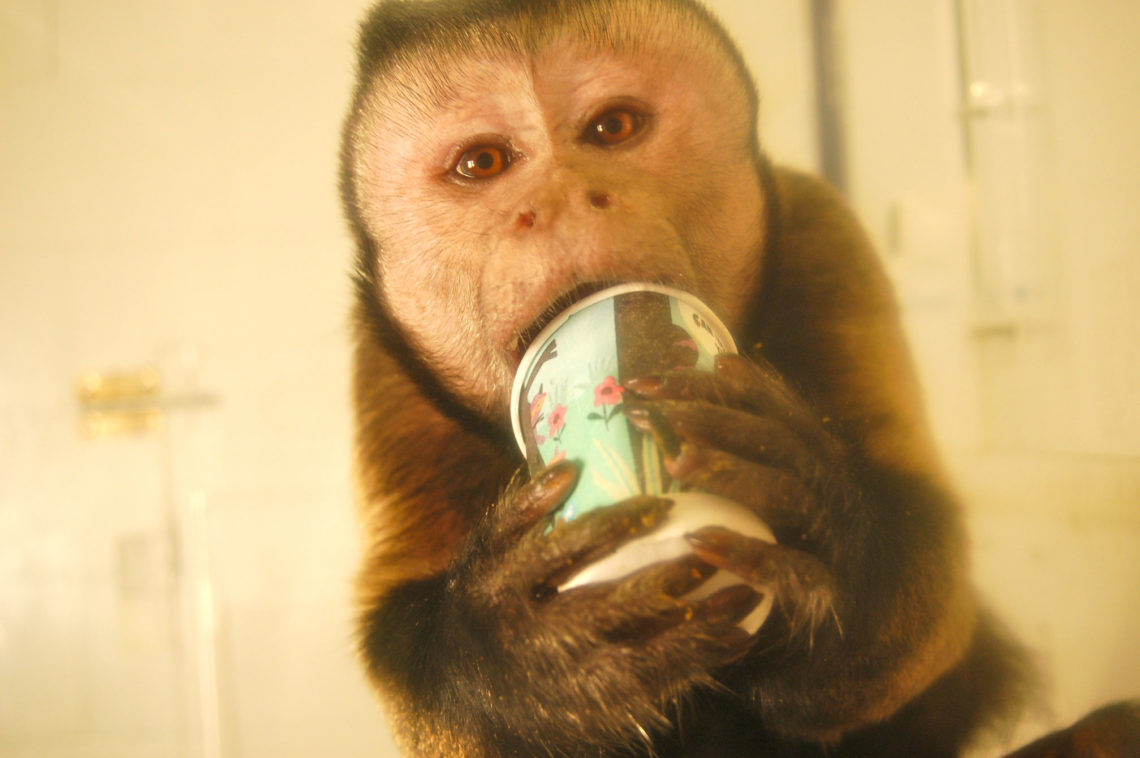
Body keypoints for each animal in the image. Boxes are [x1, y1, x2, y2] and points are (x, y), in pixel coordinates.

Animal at [338, 0, 1137, 756]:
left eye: (612, 127)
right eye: (484, 163)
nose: (563, 199)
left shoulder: (822, 232)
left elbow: (925, 566)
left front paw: (818, 517)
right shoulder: (381, 360)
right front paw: (514, 655)